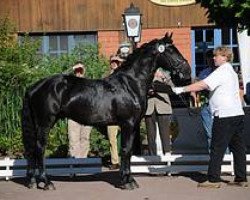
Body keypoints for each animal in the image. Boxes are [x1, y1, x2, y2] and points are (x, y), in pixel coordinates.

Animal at [21, 33, 190, 191]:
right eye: (170, 51)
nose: (187, 72)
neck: (131, 84)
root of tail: (34, 87)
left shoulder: (133, 125)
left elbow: (128, 151)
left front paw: (129, 179)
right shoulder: (128, 124)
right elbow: (126, 150)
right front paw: (126, 182)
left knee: (33, 149)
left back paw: (33, 181)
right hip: (45, 122)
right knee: (40, 148)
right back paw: (46, 182)